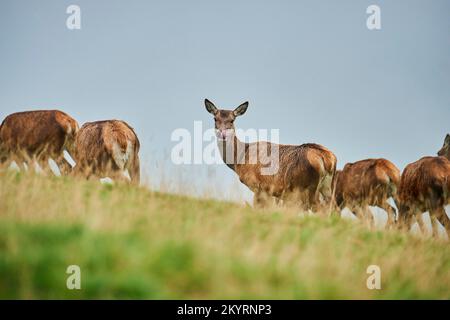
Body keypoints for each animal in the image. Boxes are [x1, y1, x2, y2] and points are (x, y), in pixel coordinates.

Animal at [204, 99, 338, 211]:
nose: (222, 134)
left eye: (232, 120)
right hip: (326, 187)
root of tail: (328, 158)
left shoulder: (258, 186)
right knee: (333, 208)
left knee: (319, 208)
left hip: (306, 187)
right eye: (215, 119)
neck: (239, 160)